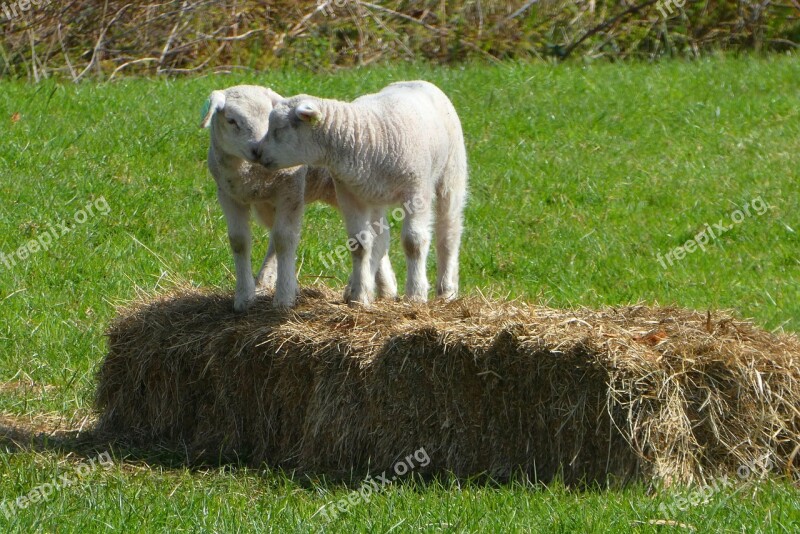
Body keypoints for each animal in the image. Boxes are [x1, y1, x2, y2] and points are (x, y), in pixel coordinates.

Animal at [202, 84, 398, 310]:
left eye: (269, 119)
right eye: (231, 120)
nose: (257, 149)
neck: (251, 173)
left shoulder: (291, 189)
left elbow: (284, 239)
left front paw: (284, 297)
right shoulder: (228, 196)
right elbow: (239, 241)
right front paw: (244, 297)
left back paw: (376, 287)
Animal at [256, 79, 468, 306]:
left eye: (279, 129)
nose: (258, 153)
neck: (364, 135)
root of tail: (417, 81)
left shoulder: (416, 190)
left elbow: (413, 242)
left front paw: (415, 295)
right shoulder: (350, 194)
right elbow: (359, 244)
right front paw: (359, 296)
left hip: (451, 172)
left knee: (449, 230)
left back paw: (447, 290)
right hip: (374, 195)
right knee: (380, 241)